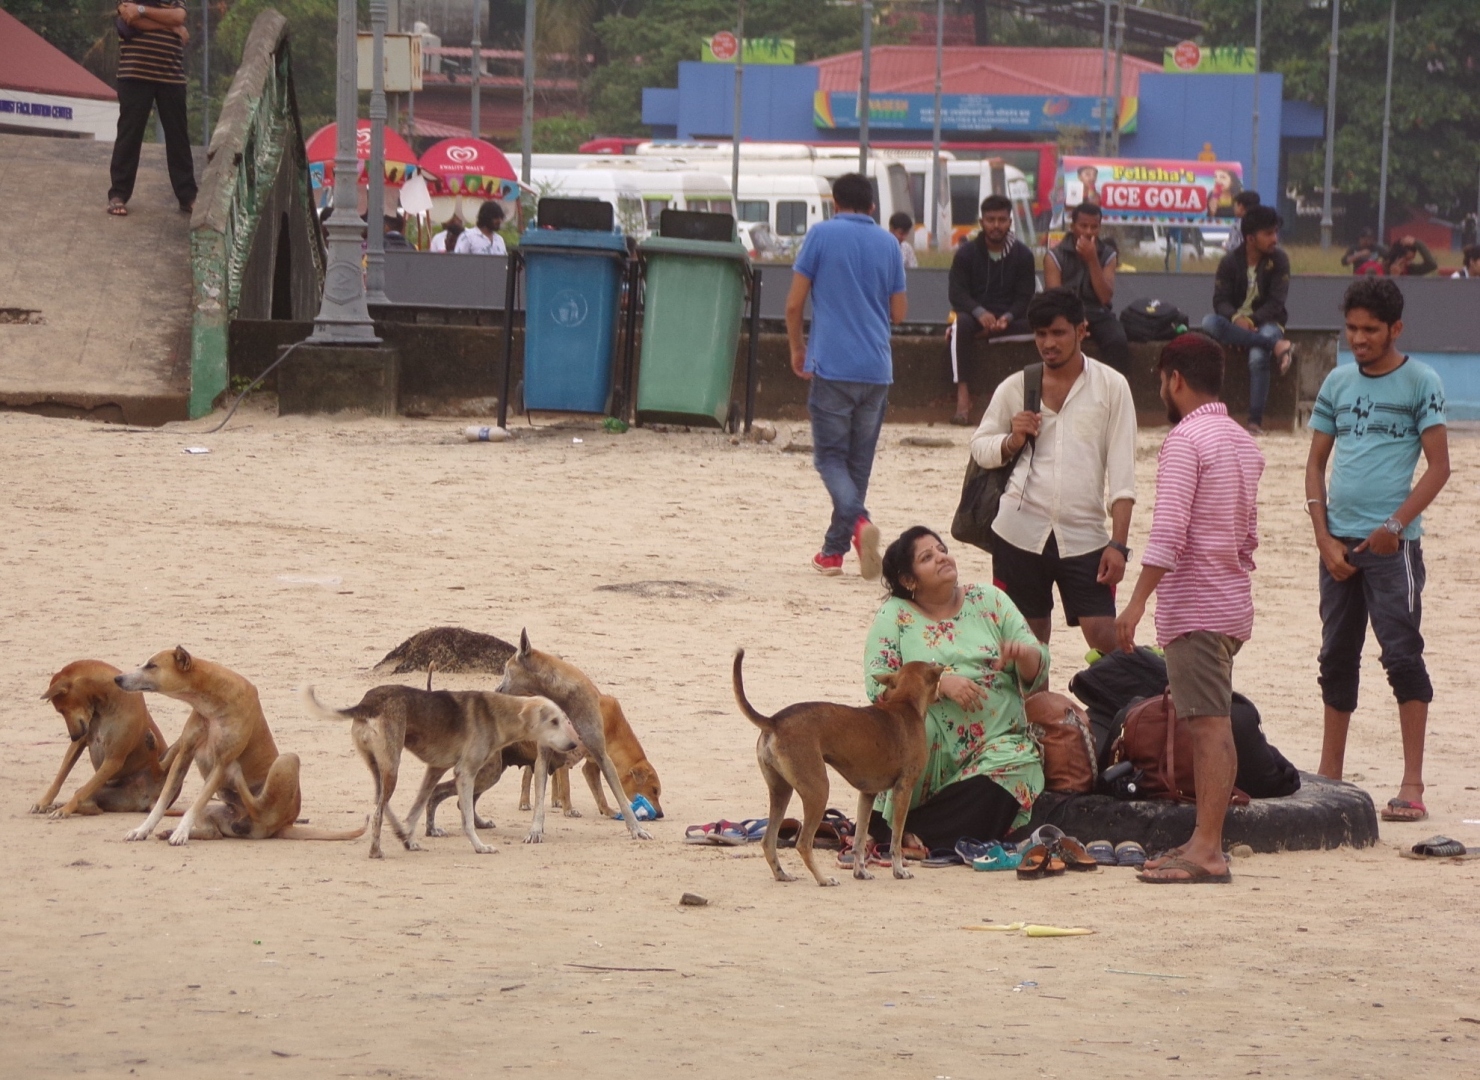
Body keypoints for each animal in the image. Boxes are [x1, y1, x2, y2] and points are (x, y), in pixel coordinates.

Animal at [32, 656, 171, 816]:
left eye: (61, 710)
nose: (73, 736)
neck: (105, 703)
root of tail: (151, 803)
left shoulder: (113, 760)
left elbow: (83, 792)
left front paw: (65, 809)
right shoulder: (79, 743)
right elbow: (60, 776)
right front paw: (44, 802)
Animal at [117, 645, 367, 846]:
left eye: (152, 665)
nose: (117, 679)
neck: (211, 702)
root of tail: (284, 826)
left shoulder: (221, 763)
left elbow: (194, 803)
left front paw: (181, 832)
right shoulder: (185, 755)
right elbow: (162, 801)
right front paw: (143, 830)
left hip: (287, 759)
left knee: (256, 806)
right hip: (217, 809)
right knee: (215, 833)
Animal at [304, 680, 577, 858]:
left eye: (565, 719)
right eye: (553, 721)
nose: (574, 744)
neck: (498, 714)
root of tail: (367, 701)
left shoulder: (434, 770)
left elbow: (416, 809)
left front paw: (409, 838)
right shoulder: (465, 773)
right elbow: (467, 819)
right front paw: (479, 847)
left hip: (380, 768)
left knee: (380, 803)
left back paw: (400, 835)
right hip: (393, 767)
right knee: (379, 812)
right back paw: (375, 850)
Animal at [494, 630, 651, 840]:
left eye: (506, 669)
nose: (497, 690)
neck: (560, 696)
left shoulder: (600, 754)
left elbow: (620, 797)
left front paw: (636, 829)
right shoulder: (544, 756)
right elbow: (540, 798)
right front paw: (535, 829)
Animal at [731, 648, 947, 881]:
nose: (941, 695)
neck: (905, 703)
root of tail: (774, 721)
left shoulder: (867, 794)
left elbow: (859, 841)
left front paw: (860, 870)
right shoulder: (903, 790)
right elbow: (896, 841)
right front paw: (899, 870)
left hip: (782, 792)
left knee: (768, 840)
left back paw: (782, 874)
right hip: (818, 791)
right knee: (803, 844)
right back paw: (823, 879)